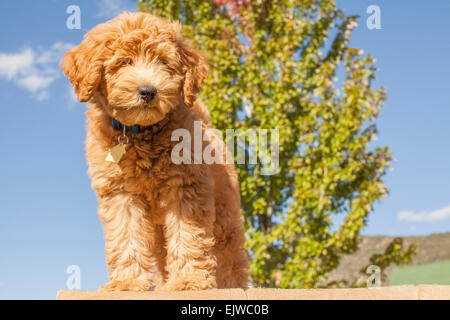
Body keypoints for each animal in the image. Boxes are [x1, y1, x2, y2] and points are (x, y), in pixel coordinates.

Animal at [62, 11, 250, 292]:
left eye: (163, 62)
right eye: (124, 62)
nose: (148, 91)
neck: (141, 132)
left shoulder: (186, 187)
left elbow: (189, 235)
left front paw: (189, 280)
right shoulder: (120, 193)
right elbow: (126, 237)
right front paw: (128, 282)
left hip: (225, 209)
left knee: (230, 251)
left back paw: (232, 285)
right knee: (162, 254)